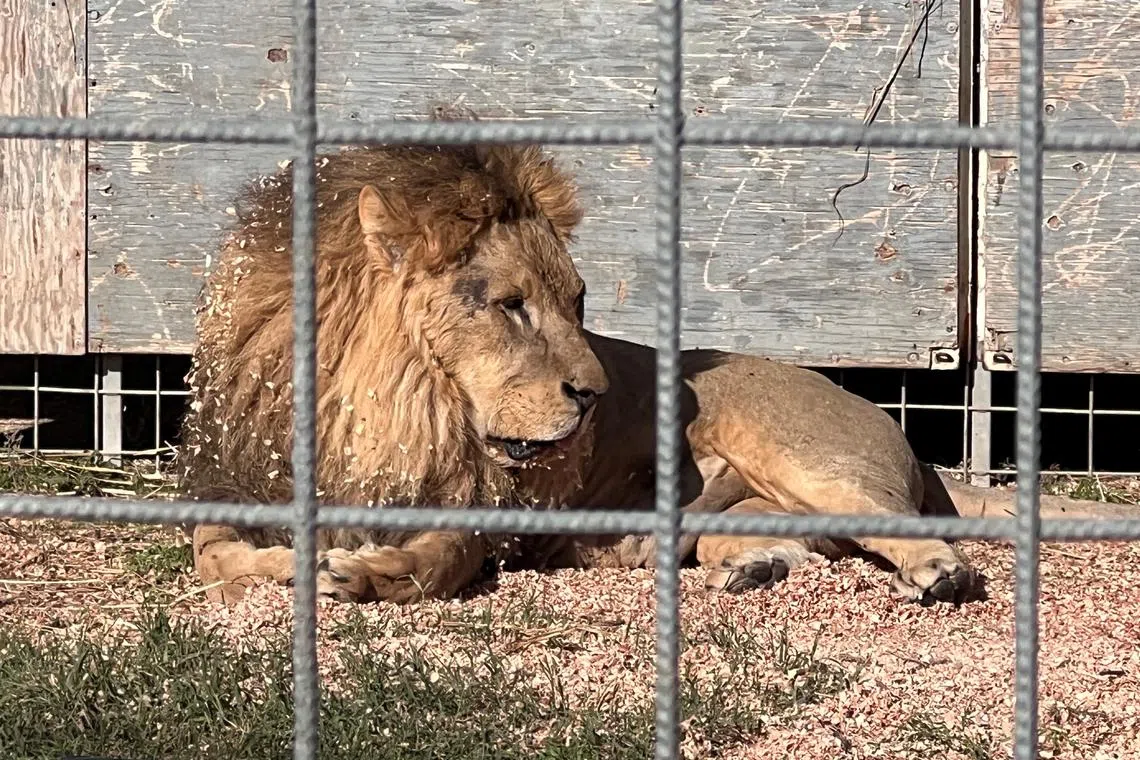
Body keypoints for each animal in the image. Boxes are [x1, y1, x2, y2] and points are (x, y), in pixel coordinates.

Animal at [178, 121, 1111, 608]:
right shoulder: (239, 485)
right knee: (797, 550)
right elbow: (210, 551)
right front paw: (278, 566)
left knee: (899, 526)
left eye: (578, 303)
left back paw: (939, 573)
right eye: (510, 304)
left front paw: (371, 573)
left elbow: (440, 556)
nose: (592, 395)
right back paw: (746, 566)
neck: (392, 401)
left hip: (802, 456)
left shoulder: (483, 514)